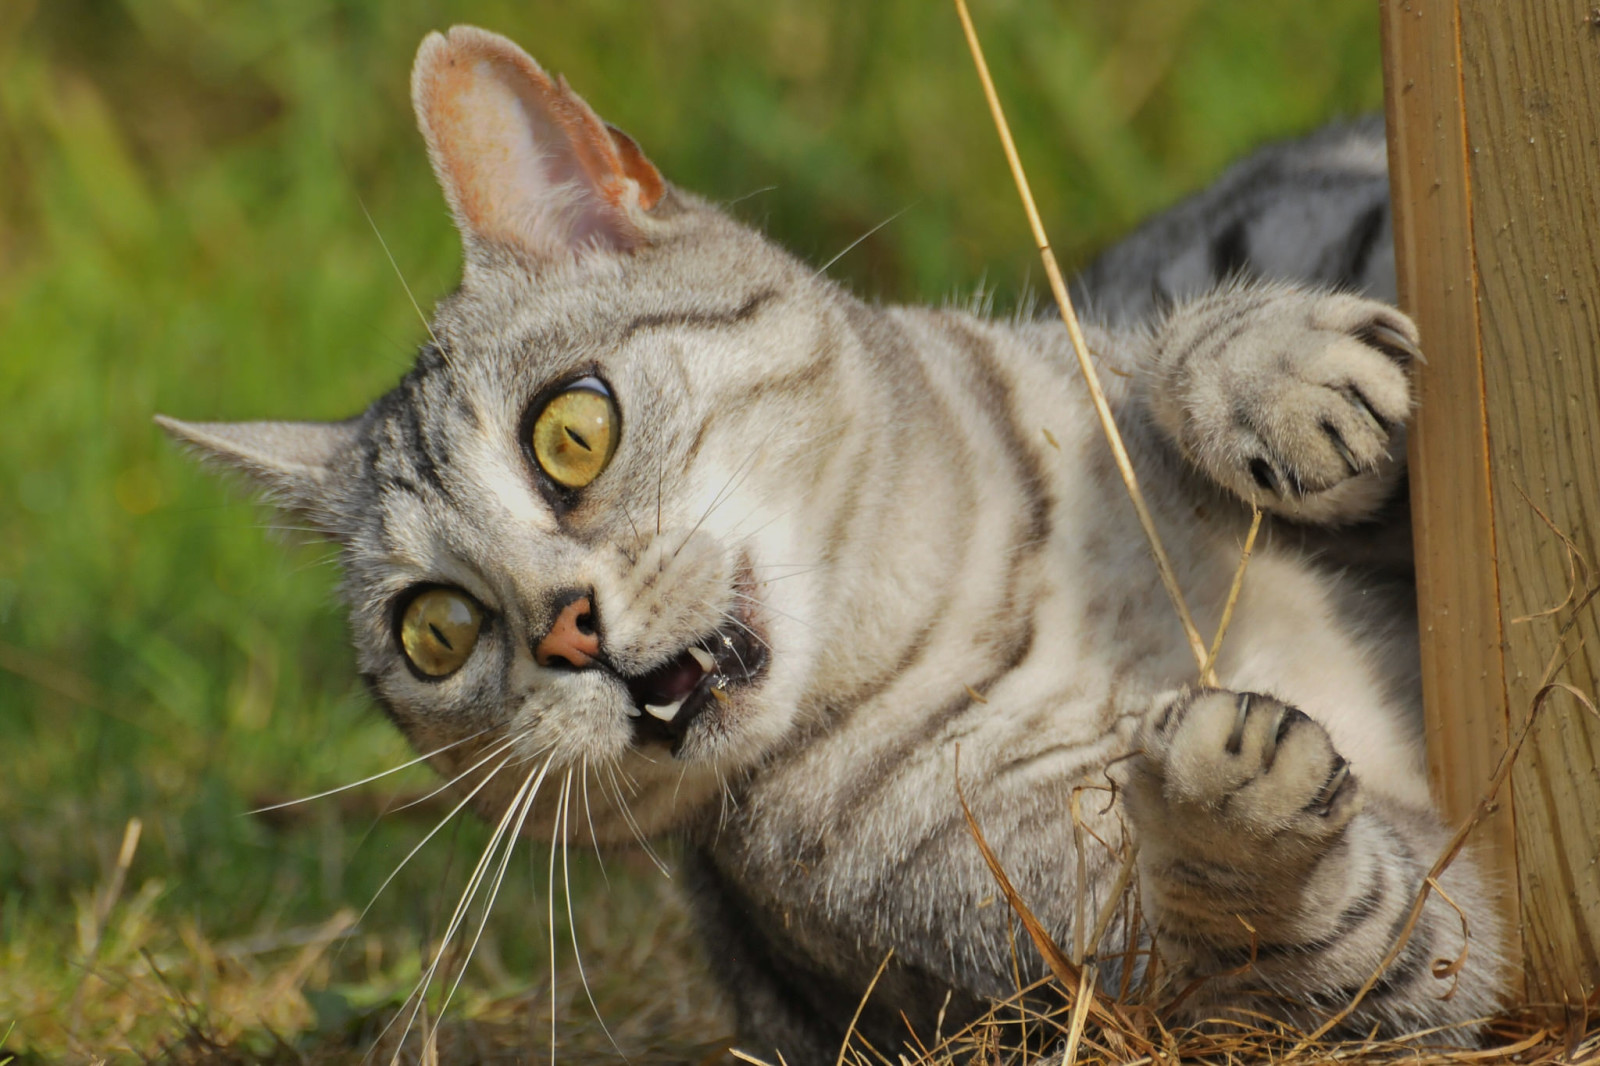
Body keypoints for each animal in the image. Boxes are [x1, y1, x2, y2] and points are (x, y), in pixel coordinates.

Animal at [159, 27, 1497, 1062]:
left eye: (571, 432)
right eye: (435, 630)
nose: (565, 628)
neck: (988, 604)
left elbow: (1158, 353)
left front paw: (1257, 373)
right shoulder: (1301, 964)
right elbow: (1311, 940)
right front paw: (1229, 806)